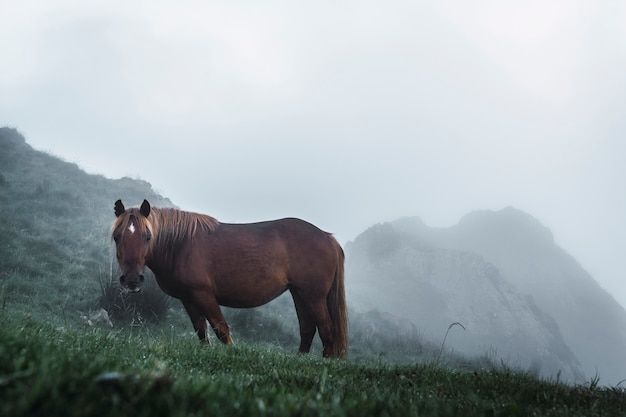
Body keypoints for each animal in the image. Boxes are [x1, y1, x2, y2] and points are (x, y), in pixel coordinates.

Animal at [111, 200, 346, 356]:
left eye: (147, 236)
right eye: (117, 237)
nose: (132, 280)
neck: (180, 245)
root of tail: (327, 237)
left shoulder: (204, 295)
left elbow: (221, 329)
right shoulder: (189, 299)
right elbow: (201, 331)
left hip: (313, 296)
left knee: (327, 330)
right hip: (300, 294)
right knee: (308, 329)